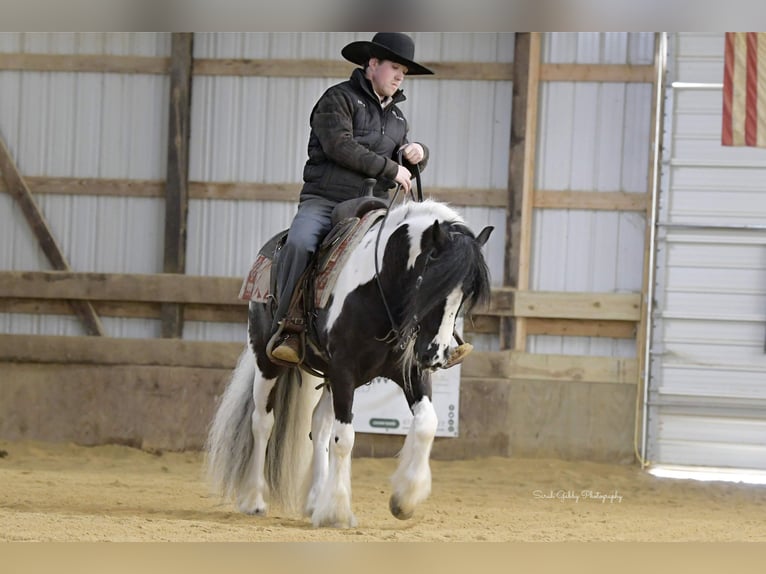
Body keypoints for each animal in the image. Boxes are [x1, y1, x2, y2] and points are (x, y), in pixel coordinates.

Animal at [204, 200, 496, 528]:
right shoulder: (344, 371)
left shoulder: (409, 372)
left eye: (465, 295)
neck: (378, 287)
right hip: (267, 361)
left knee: (318, 425)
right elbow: (344, 438)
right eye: (429, 283)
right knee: (263, 421)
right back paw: (254, 499)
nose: (436, 354)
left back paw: (314, 500)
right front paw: (337, 512)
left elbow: (426, 424)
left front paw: (404, 500)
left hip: (326, 377)